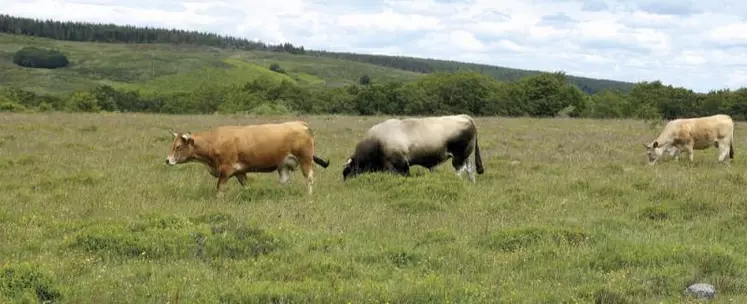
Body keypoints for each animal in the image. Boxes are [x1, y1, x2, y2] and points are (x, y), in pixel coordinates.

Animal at [167, 121, 330, 197]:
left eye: (178, 147)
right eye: (172, 145)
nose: (167, 160)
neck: (214, 141)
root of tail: (300, 124)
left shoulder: (226, 170)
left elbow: (219, 188)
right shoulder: (239, 171)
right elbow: (246, 186)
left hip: (305, 160)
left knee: (309, 178)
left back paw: (309, 195)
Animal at [344, 113, 488, 180]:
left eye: (347, 172)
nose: (346, 184)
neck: (377, 141)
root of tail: (465, 117)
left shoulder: (399, 165)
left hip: (458, 158)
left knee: (460, 171)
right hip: (465, 156)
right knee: (470, 170)